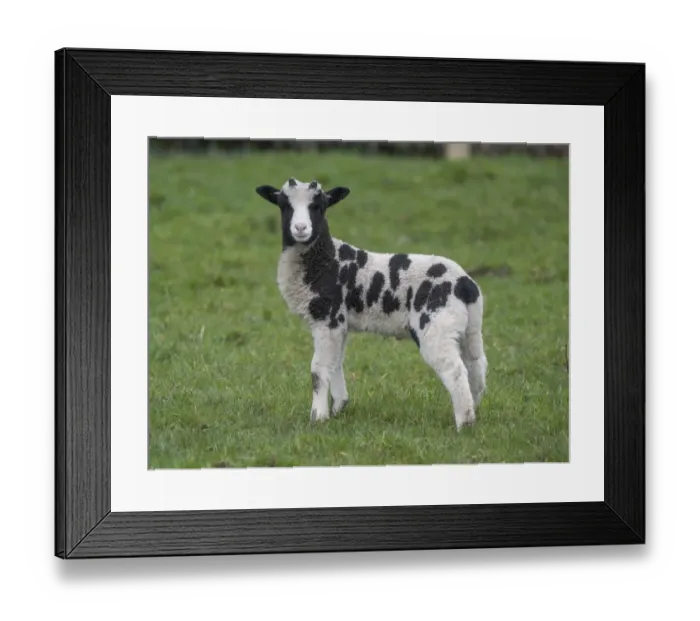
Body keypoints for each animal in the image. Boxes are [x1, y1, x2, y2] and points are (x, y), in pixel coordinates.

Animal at [254, 178, 487, 430]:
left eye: (319, 206)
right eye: (284, 205)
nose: (300, 228)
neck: (327, 260)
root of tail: (465, 284)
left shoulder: (327, 317)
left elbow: (318, 368)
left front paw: (318, 417)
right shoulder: (339, 324)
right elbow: (335, 363)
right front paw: (338, 407)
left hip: (436, 325)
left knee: (455, 370)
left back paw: (464, 423)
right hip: (469, 328)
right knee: (476, 365)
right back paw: (473, 413)